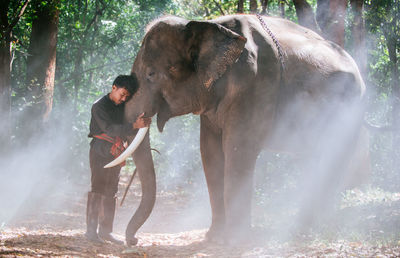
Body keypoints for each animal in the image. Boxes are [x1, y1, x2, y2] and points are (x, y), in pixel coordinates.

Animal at [108, 14, 370, 246]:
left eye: (151, 74)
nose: (133, 240)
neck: (210, 26)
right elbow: (210, 152)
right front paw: (214, 239)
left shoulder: (255, 83)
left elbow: (239, 148)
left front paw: (234, 242)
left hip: (349, 113)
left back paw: (309, 230)